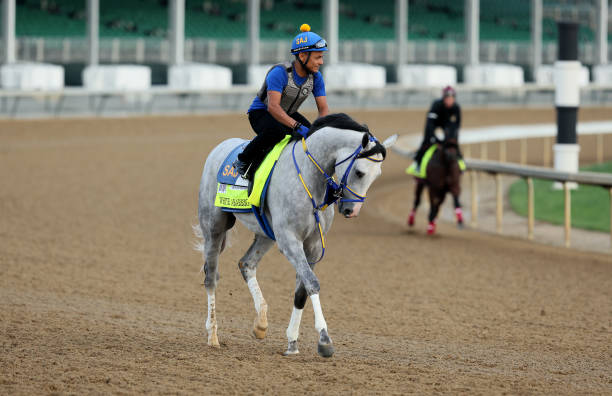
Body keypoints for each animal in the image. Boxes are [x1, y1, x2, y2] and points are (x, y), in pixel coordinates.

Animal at [195, 113, 396, 358]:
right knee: (211, 277)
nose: (352, 210)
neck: (310, 178)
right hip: (214, 227)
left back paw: (260, 323)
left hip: (266, 234)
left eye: (377, 175)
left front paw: (292, 343)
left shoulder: (313, 245)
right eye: (359, 172)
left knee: (246, 264)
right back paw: (213, 335)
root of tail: (220, 147)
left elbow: (302, 291)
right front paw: (324, 340)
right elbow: (312, 283)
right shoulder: (290, 241)